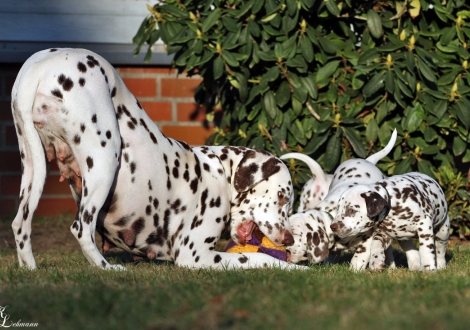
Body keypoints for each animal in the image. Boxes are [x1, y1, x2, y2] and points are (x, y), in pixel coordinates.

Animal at [11, 48, 306, 270]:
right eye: (282, 196)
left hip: (32, 169)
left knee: (20, 225)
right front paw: (294, 268)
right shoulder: (195, 254)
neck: (220, 173)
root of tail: (40, 66)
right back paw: (107, 268)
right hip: (106, 159)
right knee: (81, 228)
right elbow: (259, 257)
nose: (289, 238)